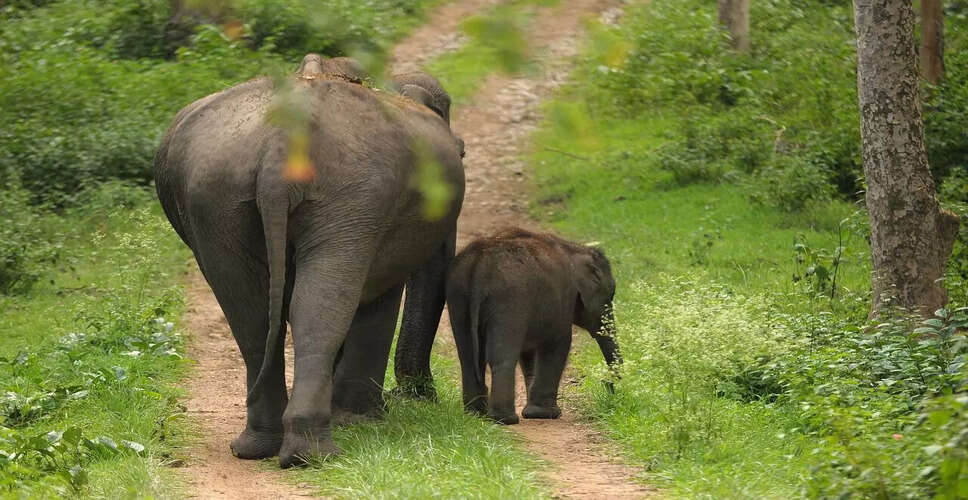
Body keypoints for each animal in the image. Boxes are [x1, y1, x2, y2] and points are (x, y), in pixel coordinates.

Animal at [154, 53, 463, 467]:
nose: (419, 394)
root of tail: (280, 146)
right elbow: (378, 300)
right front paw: (361, 419)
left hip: (215, 197)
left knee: (252, 314)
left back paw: (261, 447)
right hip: (350, 193)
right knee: (319, 307)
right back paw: (314, 453)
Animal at [446, 228, 622, 425]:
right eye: (610, 296)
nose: (608, 384)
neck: (574, 248)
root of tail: (479, 267)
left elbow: (528, 354)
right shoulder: (562, 299)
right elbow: (559, 343)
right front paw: (545, 414)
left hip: (458, 295)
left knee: (467, 357)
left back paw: (476, 413)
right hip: (509, 300)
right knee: (502, 357)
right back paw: (505, 419)